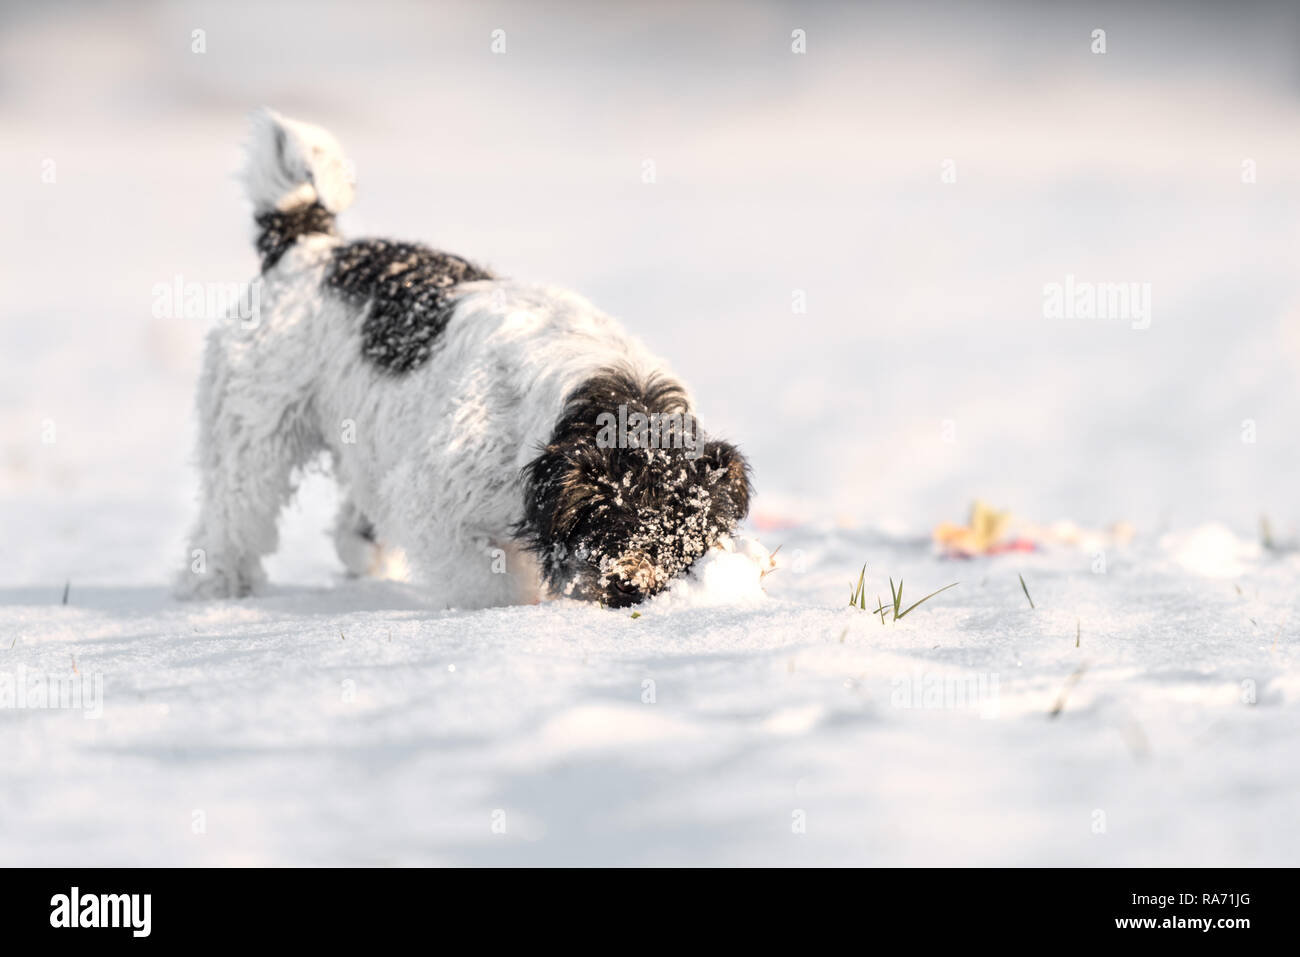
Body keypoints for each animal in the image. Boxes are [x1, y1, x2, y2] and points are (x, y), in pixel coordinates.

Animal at [175, 108, 754, 608]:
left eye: (693, 548)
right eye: (614, 530)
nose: (640, 595)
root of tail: (307, 248)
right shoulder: (433, 501)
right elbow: (486, 583)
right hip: (252, 434)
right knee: (230, 518)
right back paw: (215, 591)